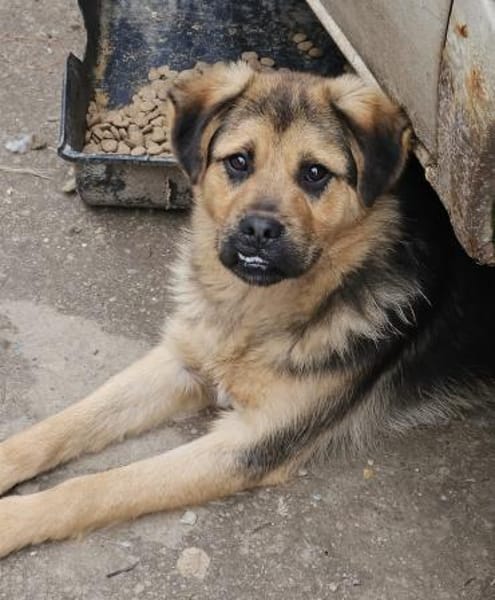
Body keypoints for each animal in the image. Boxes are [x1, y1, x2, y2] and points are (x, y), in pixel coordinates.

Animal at [1, 62, 494, 557]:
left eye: (315, 173)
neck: (253, 314)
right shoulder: (182, 361)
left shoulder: (251, 442)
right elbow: (65, 424)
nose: (258, 230)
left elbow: (99, 486)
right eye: (239, 161)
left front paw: (13, 520)